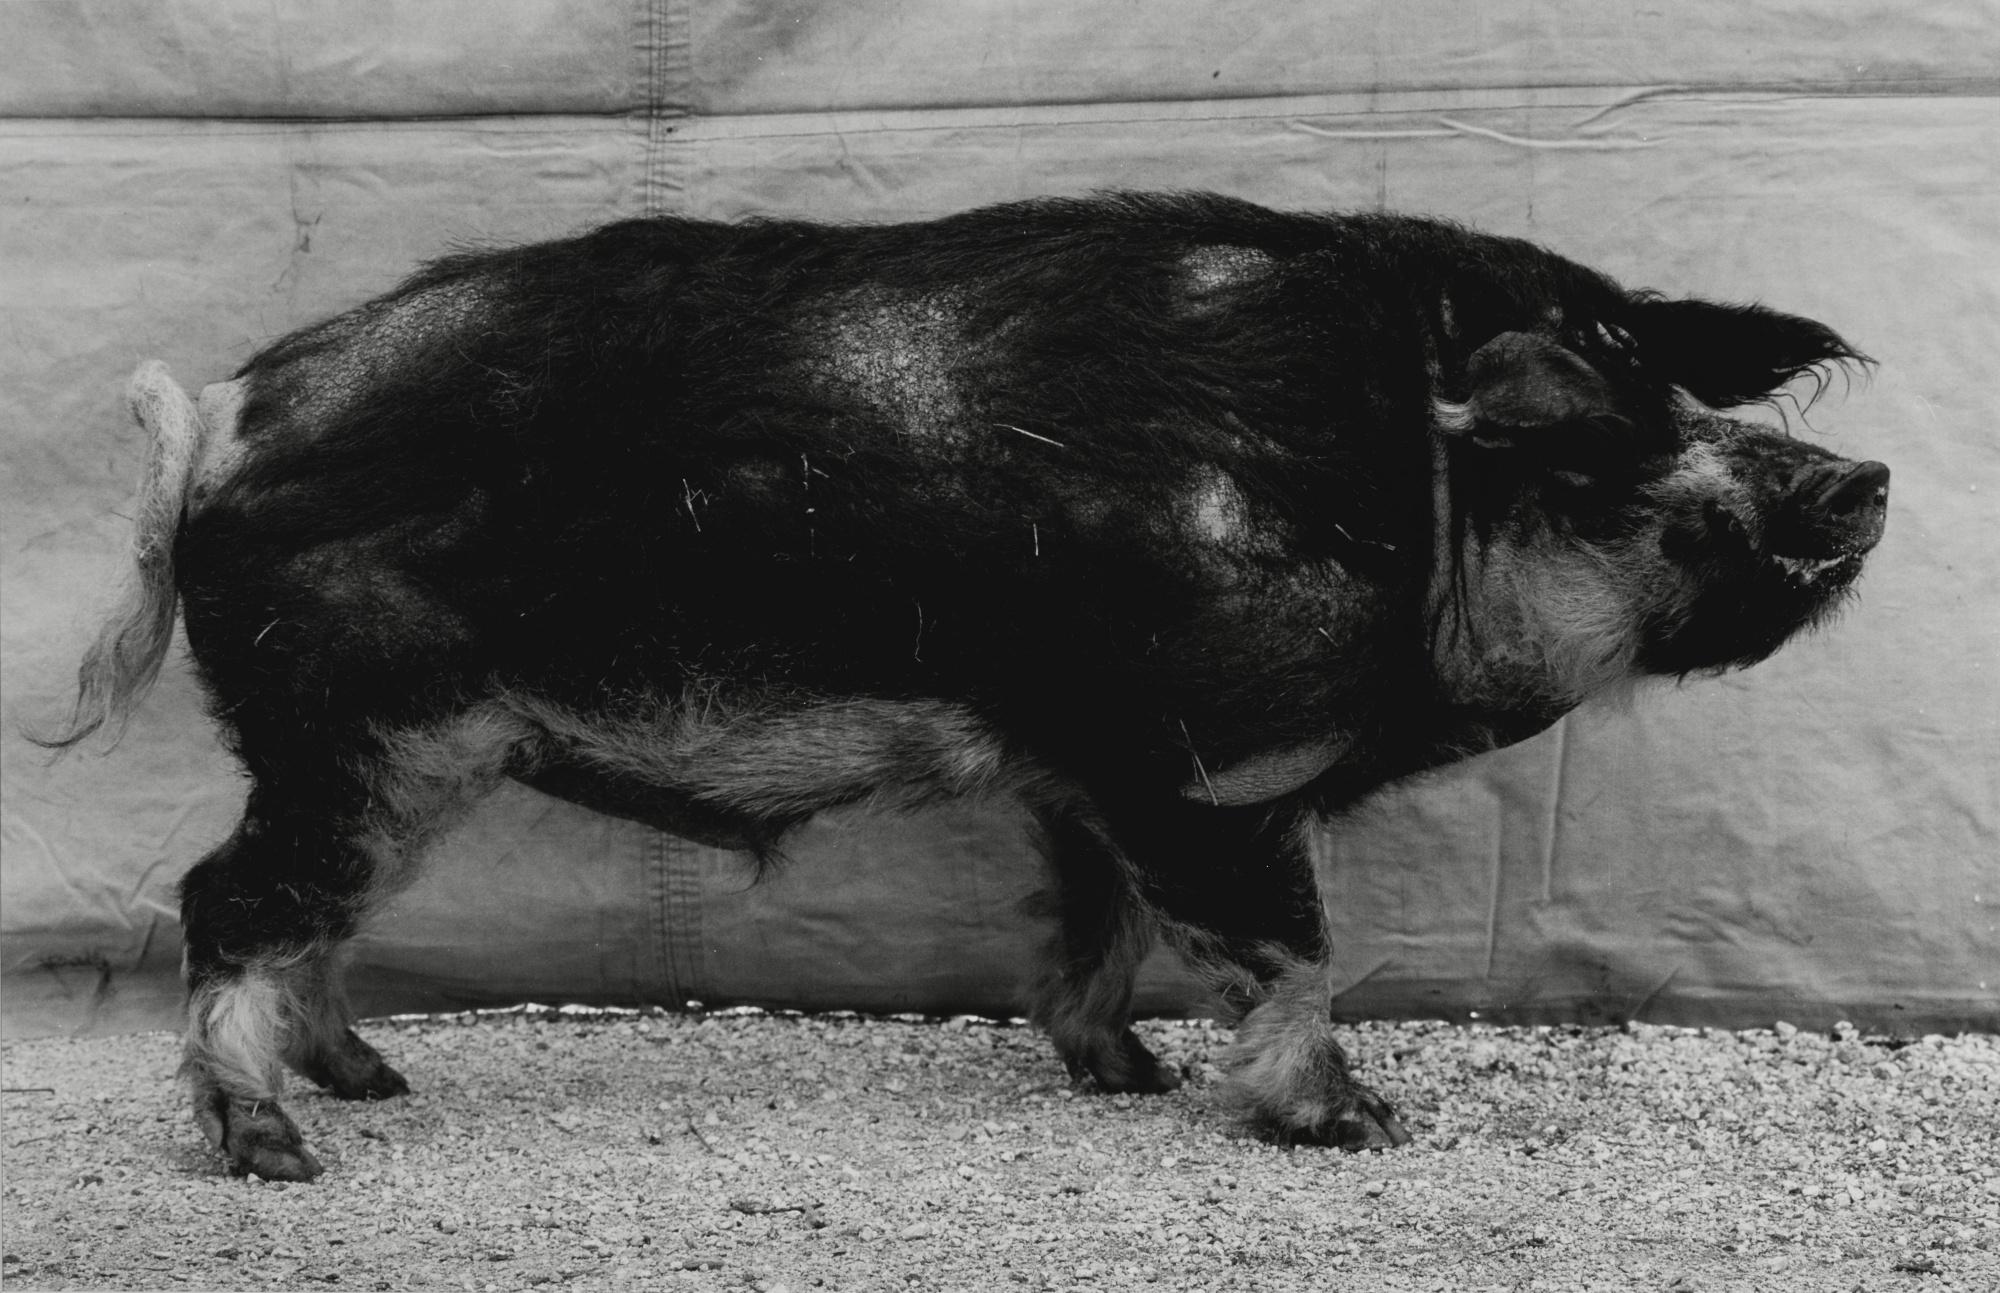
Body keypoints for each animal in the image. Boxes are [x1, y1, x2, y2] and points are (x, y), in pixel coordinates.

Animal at [42, 192, 1888, 1182]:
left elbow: (1100, 932)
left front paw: (1128, 1077)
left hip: (390, 757)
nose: (1858, 475)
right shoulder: (1206, 769)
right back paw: (277, 1149)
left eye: (1684, 394)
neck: (1399, 502)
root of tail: (220, 420)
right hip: (367, 732)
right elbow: (1298, 943)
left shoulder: (1087, 780)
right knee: (231, 899)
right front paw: (1358, 1121)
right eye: (1600, 441)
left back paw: (370, 1080)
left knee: (307, 918)